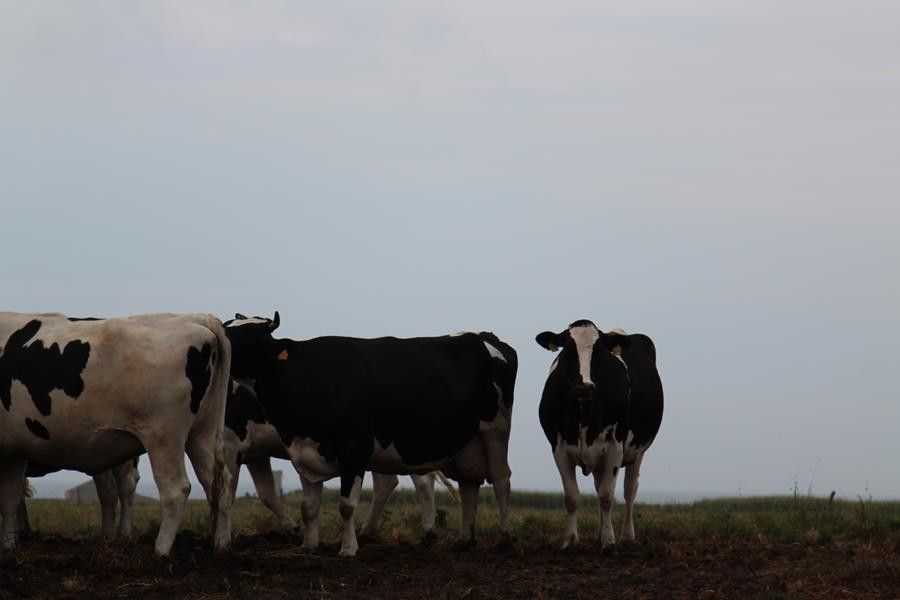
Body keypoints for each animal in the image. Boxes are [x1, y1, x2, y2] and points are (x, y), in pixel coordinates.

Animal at [0, 312, 236, 556]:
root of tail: (199, 318)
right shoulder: (16, 452)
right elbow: (10, 499)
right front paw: (9, 544)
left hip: (164, 437)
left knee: (174, 489)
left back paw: (160, 550)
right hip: (202, 434)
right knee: (219, 484)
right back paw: (220, 544)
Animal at [225, 314, 516, 556]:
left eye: (248, 335)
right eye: (228, 326)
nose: (219, 341)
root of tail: (484, 336)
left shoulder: (354, 448)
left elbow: (347, 505)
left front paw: (348, 549)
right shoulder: (303, 450)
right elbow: (308, 507)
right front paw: (308, 545)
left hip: (495, 431)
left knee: (501, 478)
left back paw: (504, 538)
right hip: (467, 443)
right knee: (469, 484)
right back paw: (464, 540)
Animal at [536, 322, 660, 552]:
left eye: (600, 352)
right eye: (567, 350)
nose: (584, 388)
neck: (584, 415)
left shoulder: (615, 446)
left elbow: (607, 496)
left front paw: (609, 541)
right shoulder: (558, 448)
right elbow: (572, 497)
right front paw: (570, 540)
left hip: (637, 451)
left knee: (629, 490)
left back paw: (626, 536)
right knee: (599, 485)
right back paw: (599, 534)